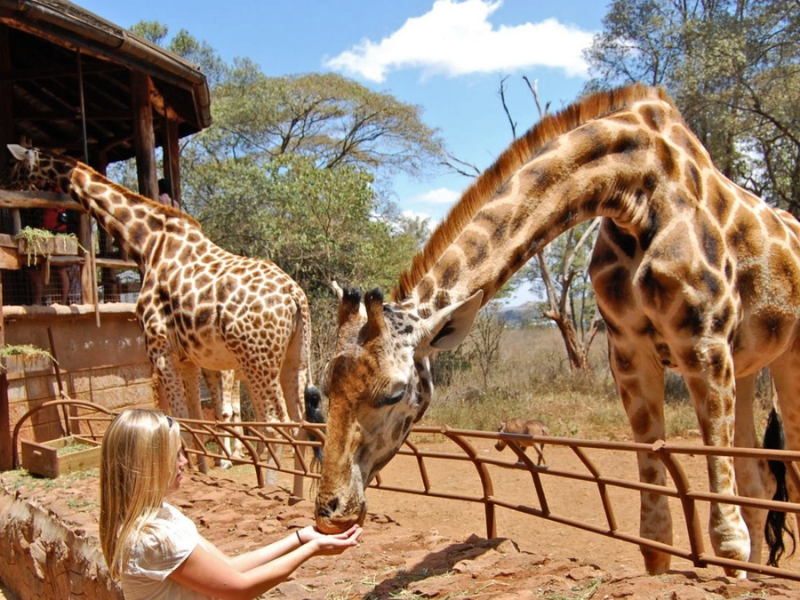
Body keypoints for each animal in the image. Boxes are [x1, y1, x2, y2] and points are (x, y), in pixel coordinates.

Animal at [5, 144, 316, 481]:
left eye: (15, 166)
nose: (10, 188)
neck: (146, 243)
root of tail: (294, 295)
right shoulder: (188, 357)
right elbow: (194, 418)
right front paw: (201, 468)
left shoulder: (158, 348)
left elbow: (179, 419)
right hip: (294, 356)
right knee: (300, 421)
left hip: (256, 358)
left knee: (276, 422)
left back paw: (269, 484)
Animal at [313, 84, 798, 578]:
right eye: (326, 387)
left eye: (394, 393)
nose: (331, 510)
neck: (636, 190)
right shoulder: (629, 354)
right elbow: (656, 535)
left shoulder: (704, 343)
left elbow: (728, 537)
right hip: (747, 366)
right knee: (759, 483)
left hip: (786, 360)